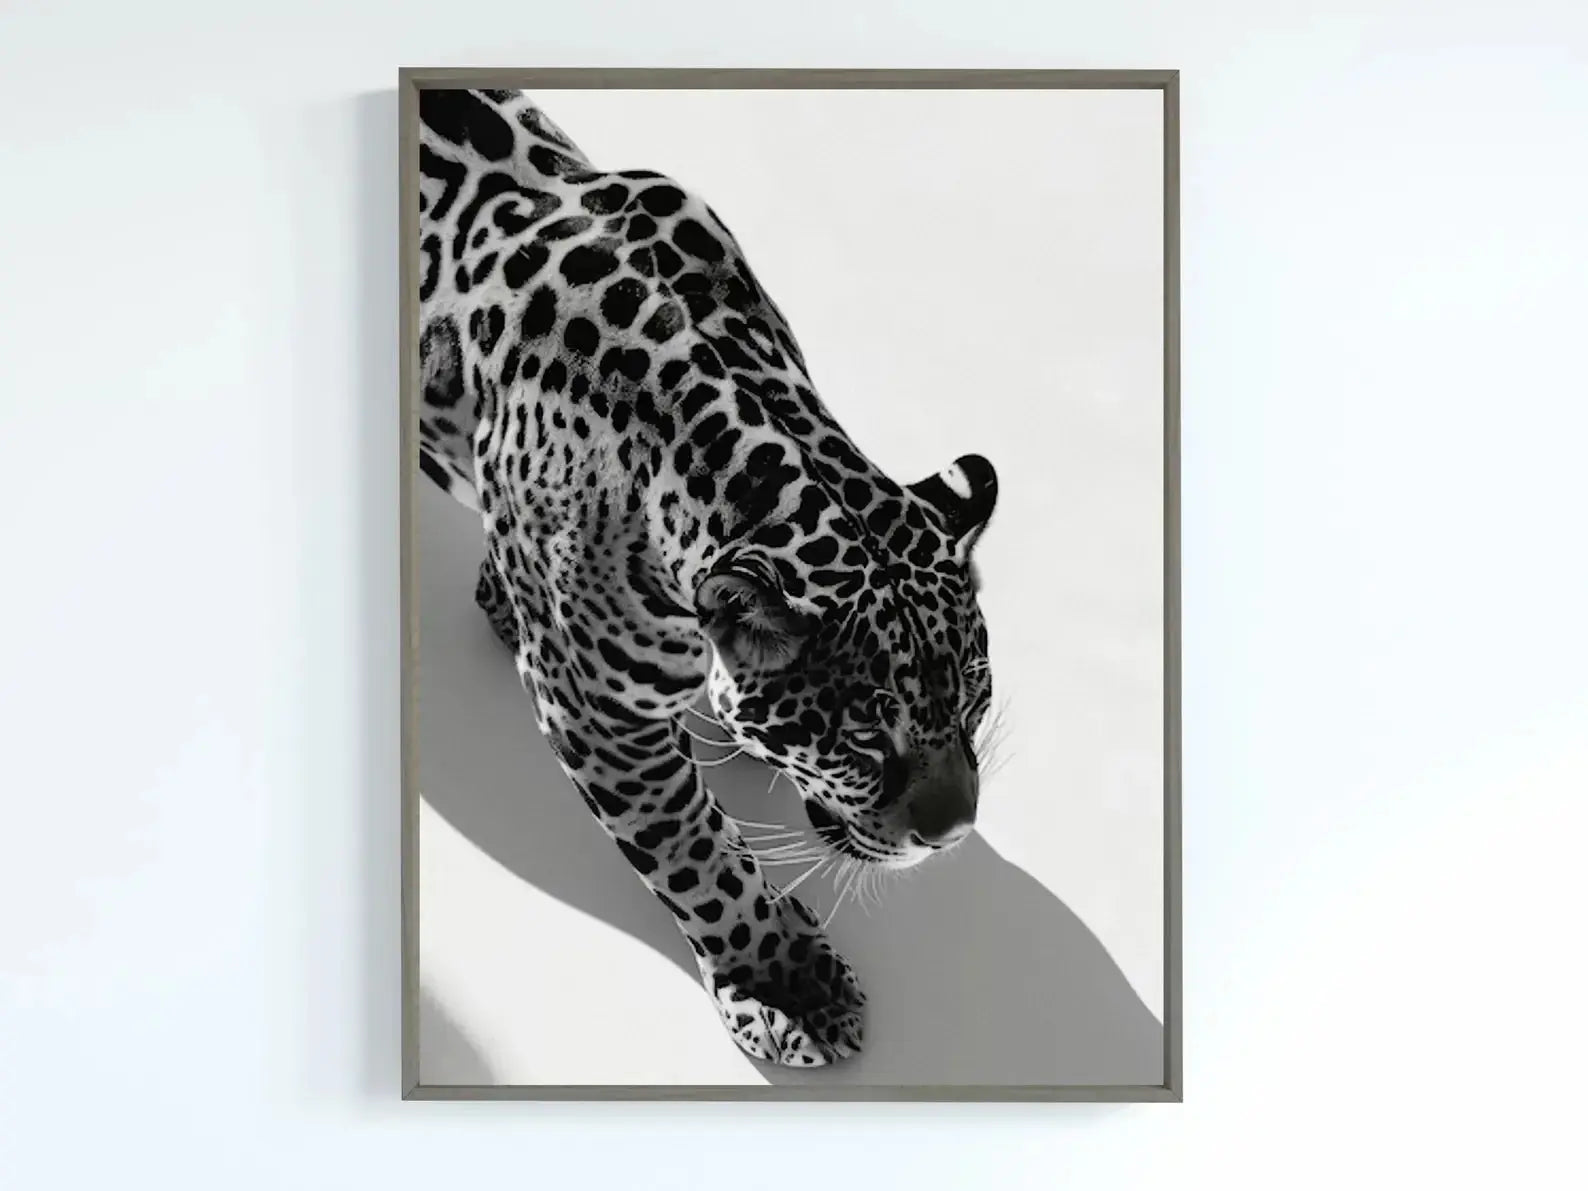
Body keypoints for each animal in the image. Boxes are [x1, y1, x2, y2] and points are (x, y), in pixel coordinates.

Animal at [417, 88, 1000, 1066]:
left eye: (974, 704)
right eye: (863, 740)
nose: (953, 832)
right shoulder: (595, 712)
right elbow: (696, 856)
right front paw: (786, 985)